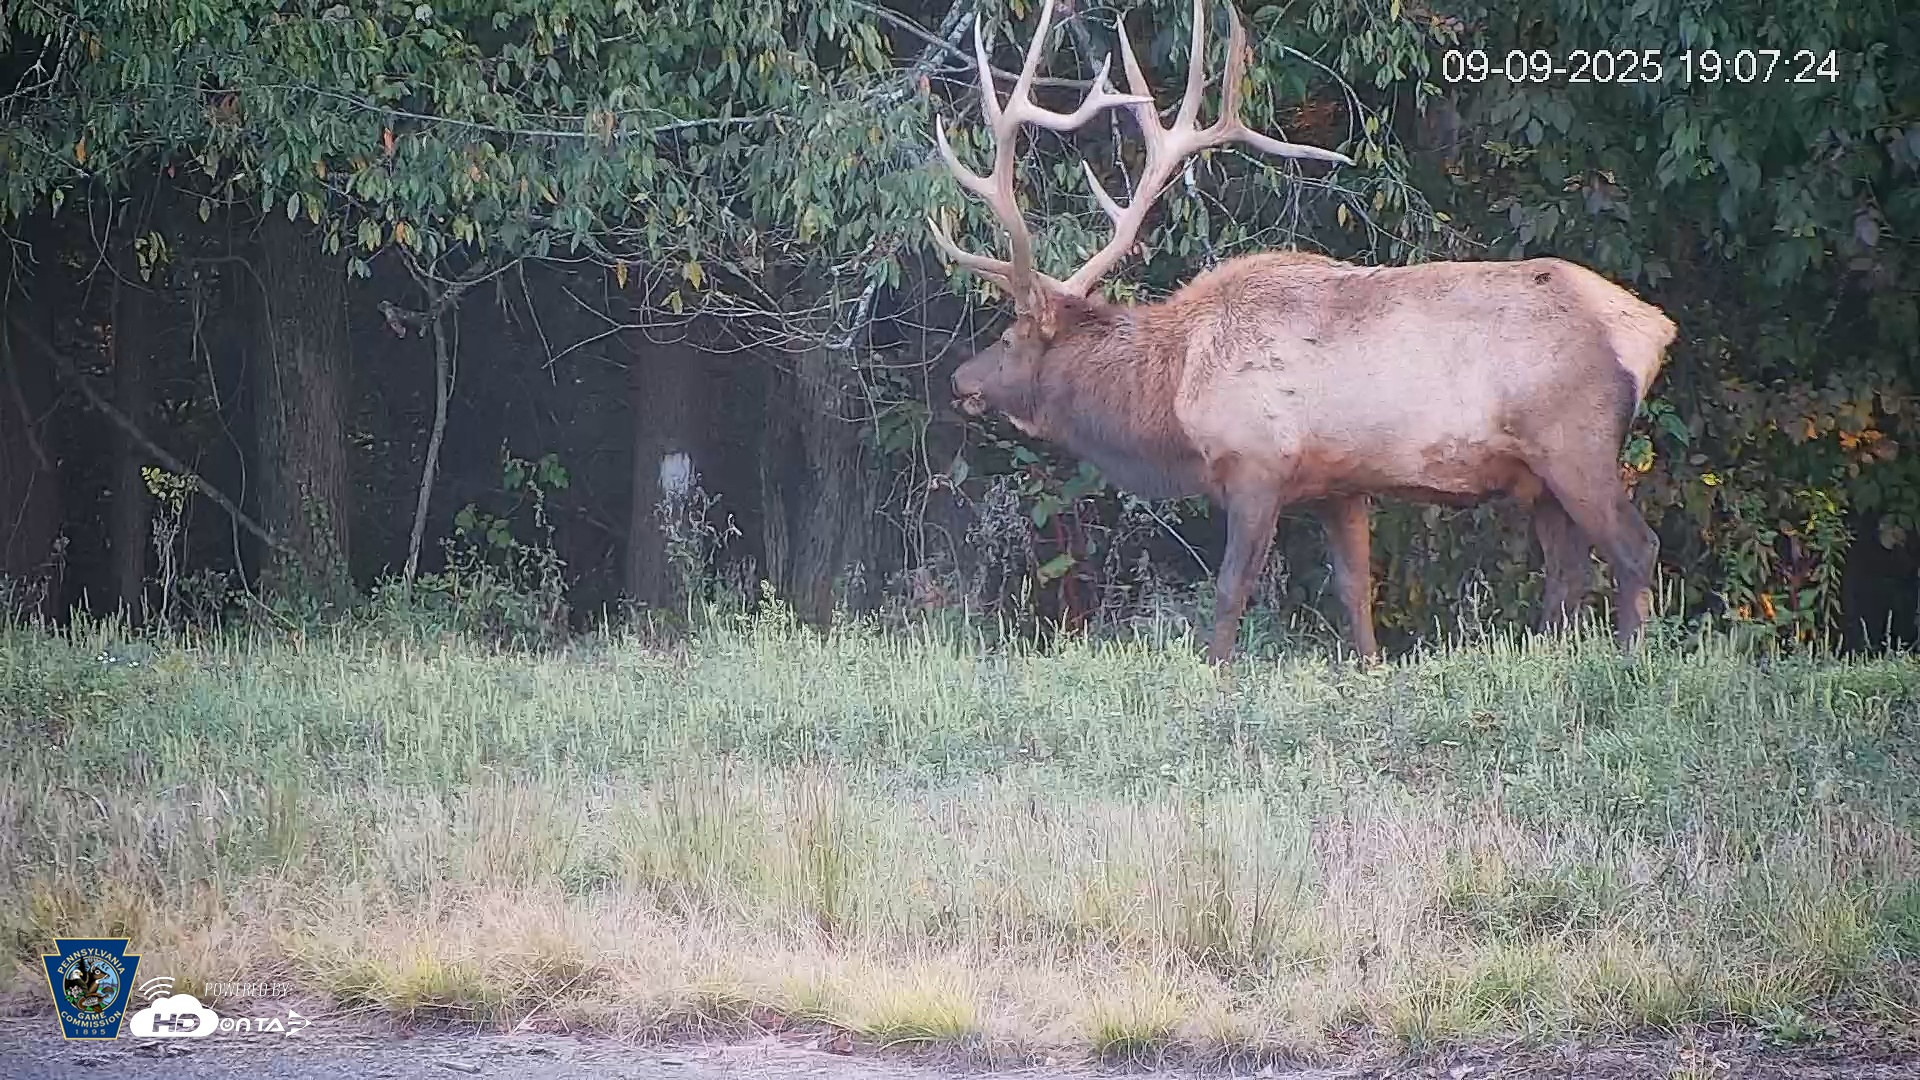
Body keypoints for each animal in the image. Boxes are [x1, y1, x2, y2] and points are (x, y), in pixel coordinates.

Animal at [928, 0, 1678, 665]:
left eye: (1012, 336)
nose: (959, 378)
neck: (1174, 393)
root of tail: (1652, 330)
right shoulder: (1338, 484)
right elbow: (1355, 592)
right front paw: (1367, 669)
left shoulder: (1256, 463)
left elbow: (1231, 590)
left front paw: (1216, 673)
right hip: (1539, 476)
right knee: (1567, 570)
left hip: (1574, 439)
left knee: (1635, 547)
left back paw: (1631, 659)